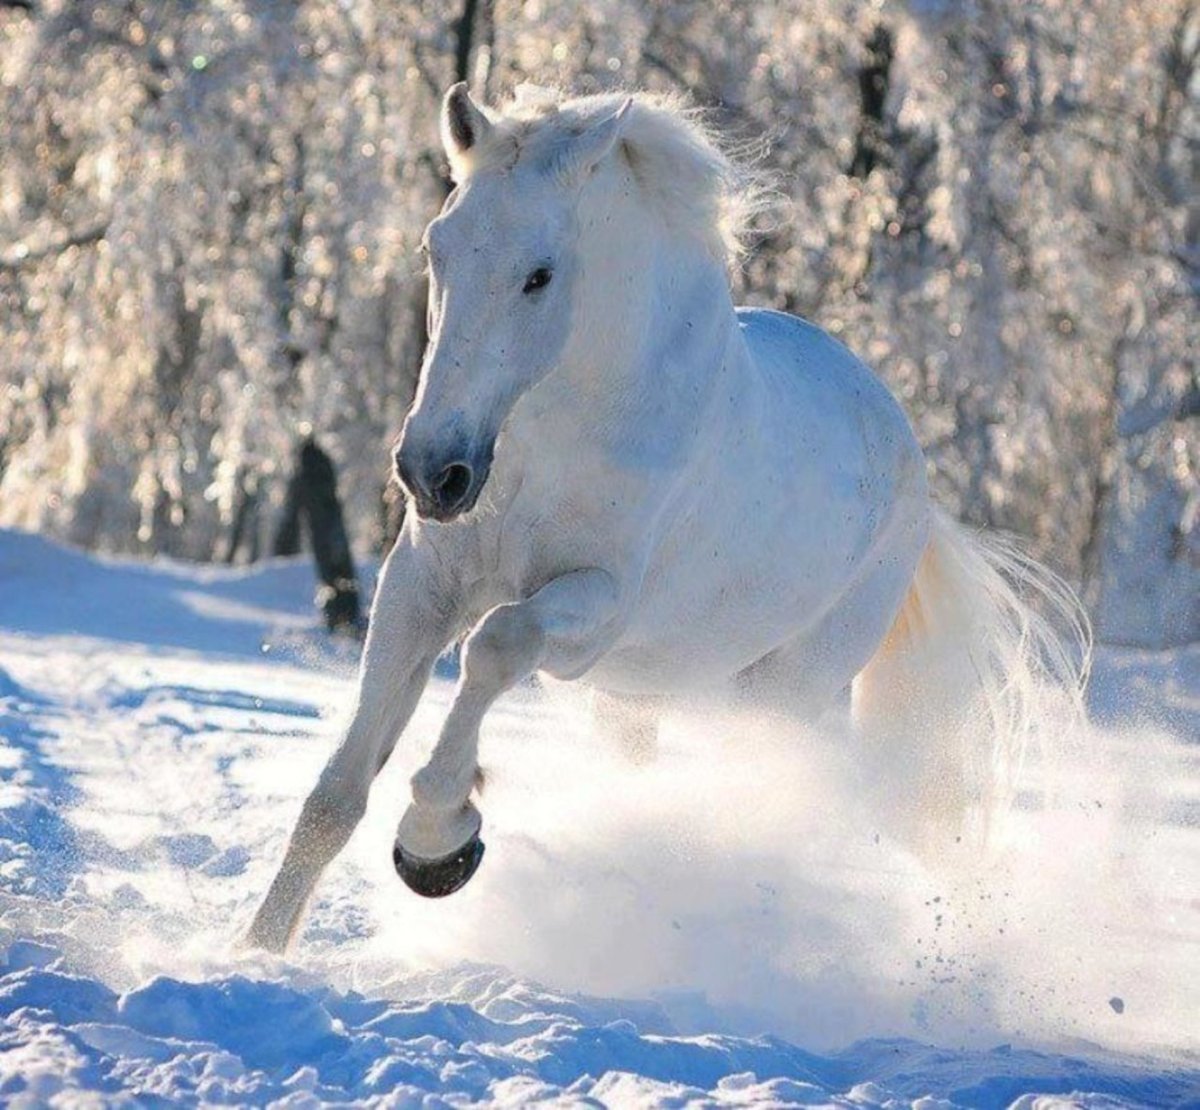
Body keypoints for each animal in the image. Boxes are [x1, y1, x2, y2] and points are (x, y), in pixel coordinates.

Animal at [247, 84, 1088, 953]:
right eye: (435, 249)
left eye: (539, 275)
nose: (432, 471)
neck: (558, 433)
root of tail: (910, 462)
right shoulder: (423, 587)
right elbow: (335, 797)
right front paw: (256, 952)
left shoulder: (598, 607)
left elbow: (497, 645)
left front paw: (438, 839)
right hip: (640, 700)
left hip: (777, 696)